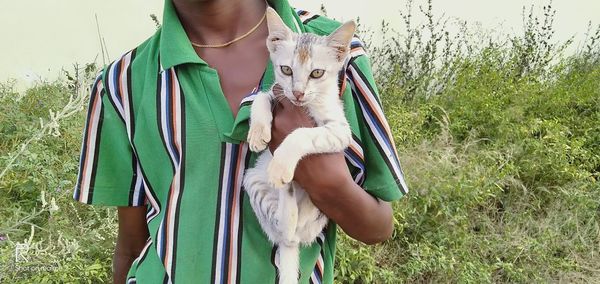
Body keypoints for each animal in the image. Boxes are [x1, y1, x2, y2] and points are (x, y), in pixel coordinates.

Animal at [243, 6, 356, 284]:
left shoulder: (339, 130)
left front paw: (281, 163)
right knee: (285, 231)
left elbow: (302, 133)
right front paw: (258, 132)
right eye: (286, 70)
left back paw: (286, 180)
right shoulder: (278, 91)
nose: (298, 93)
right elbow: (262, 96)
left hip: (325, 206)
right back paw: (288, 191)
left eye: (317, 73)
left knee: (293, 232)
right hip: (251, 180)